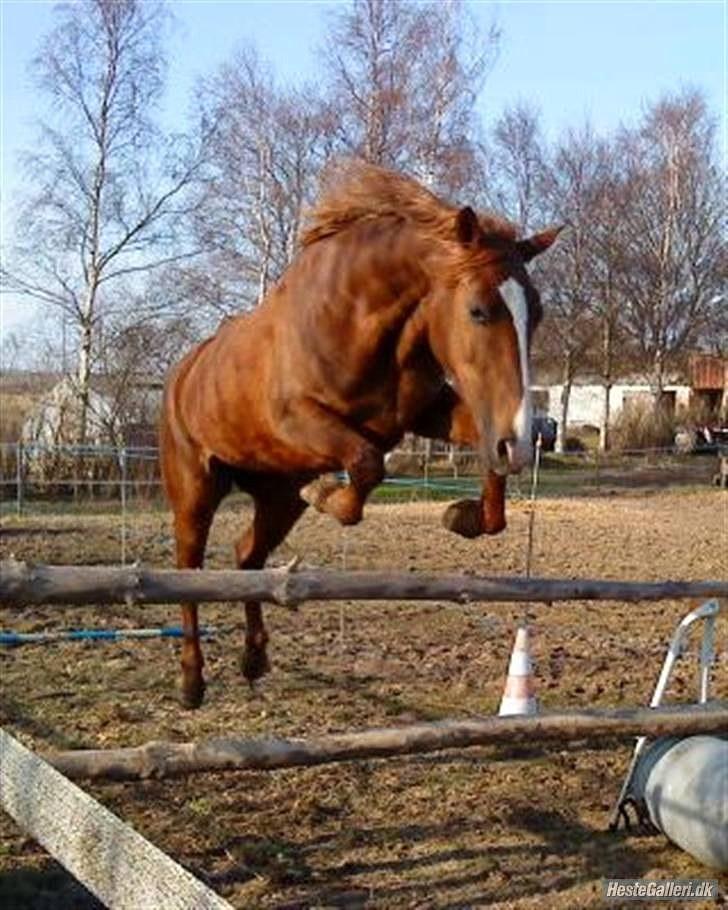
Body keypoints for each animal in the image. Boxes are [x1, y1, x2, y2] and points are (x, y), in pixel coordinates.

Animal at [160, 161, 560, 708]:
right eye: (478, 310)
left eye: (535, 313)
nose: (519, 441)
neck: (362, 321)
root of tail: (182, 371)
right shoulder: (297, 419)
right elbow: (368, 466)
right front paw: (328, 492)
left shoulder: (424, 414)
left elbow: (480, 472)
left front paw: (463, 516)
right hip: (195, 489)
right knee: (189, 567)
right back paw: (191, 681)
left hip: (276, 494)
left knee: (248, 555)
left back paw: (254, 658)